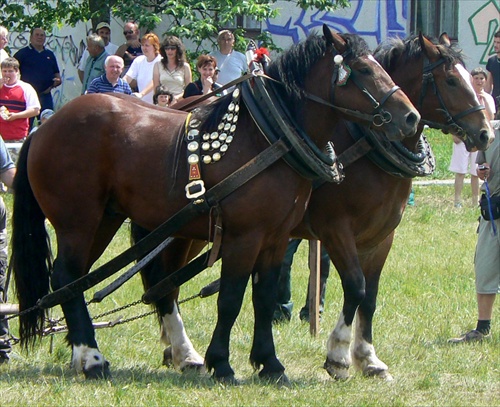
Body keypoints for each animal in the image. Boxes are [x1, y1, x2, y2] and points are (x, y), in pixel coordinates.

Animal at [10, 25, 418, 382]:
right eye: (363, 69)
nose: (410, 116)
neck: (269, 136)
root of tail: (45, 128)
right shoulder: (249, 235)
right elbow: (232, 297)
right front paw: (221, 363)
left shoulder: (275, 237)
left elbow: (263, 297)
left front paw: (270, 364)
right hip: (77, 221)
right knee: (68, 277)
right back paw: (94, 358)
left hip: (106, 220)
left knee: (78, 281)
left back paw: (92, 354)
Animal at [143, 32, 494, 382]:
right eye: (451, 80)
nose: (485, 133)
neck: (365, 145)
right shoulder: (336, 229)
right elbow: (355, 286)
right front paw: (338, 355)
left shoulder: (381, 237)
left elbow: (370, 297)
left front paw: (368, 357)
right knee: (165, 285)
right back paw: (183, 351)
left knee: (165, 284)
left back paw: (175, 348)